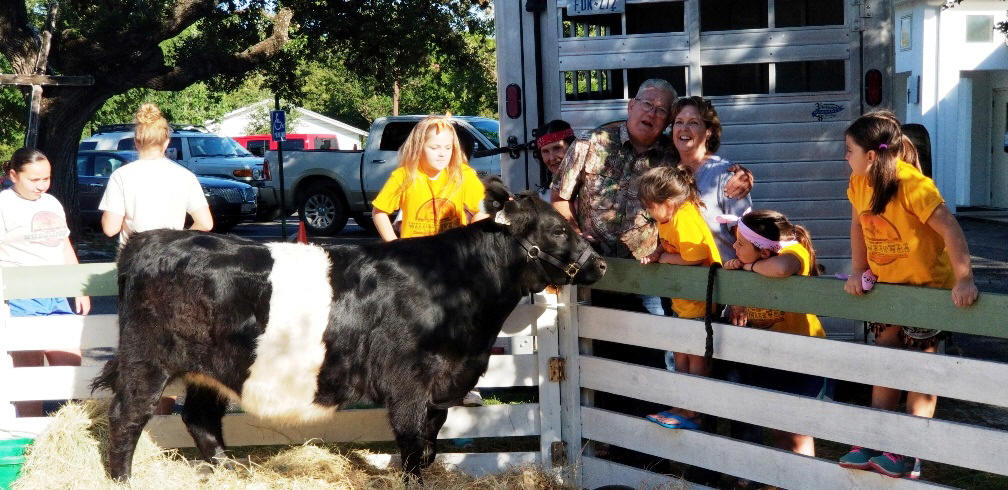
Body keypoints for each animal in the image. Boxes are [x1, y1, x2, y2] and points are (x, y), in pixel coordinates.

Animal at [92, 190, 604, 477]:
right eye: (558, 229)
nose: (599, 263)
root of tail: (148, 240)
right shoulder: (408, 384)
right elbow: (413, 447)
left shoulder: (440, 388)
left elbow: (431, 444)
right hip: (146, 360)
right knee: (126, 417)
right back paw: (122, 478)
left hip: (212, 369)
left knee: (200, 419)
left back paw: (229, 471)